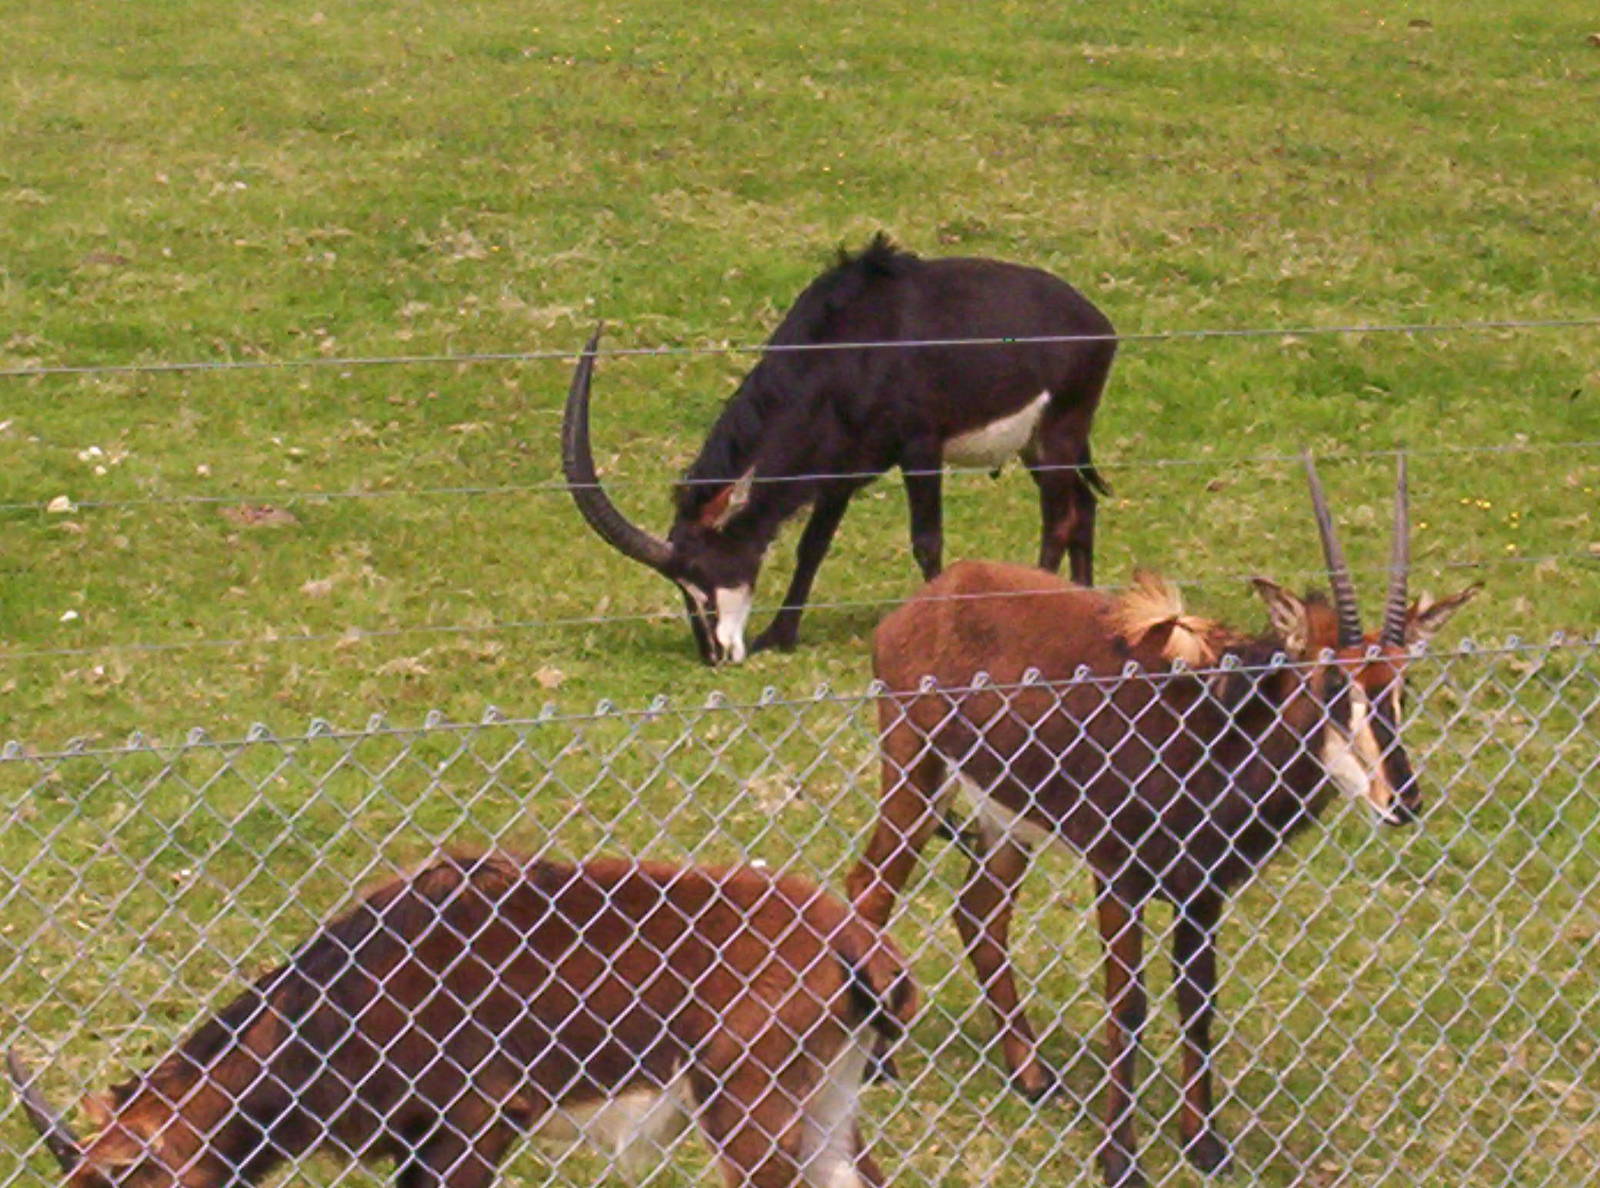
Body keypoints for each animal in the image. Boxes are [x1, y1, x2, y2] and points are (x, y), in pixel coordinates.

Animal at [563, 234, 1116, 664]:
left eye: (702, 570)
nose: (716, 654)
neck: (848, 348)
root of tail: (1098, 325)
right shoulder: (839, 468)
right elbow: (813, 546)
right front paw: (778, 635)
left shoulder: (919, 449)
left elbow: (926, 541)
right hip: (1038, 446)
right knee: (1083, 506)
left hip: (1058, 432)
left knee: (1059, 518)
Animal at [844, 456, 1478, 1185]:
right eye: (1330, 688)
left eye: (1402, 689)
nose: (1402, 799)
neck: (1215, 729)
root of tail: (934, 598)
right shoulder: (1118, 879)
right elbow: (1129, 1007)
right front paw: (1120, 1158)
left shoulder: (1202, 891)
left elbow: (1197, 1003)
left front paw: (1203, 1143)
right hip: (915, 772)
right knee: (870, 887)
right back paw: (879, 1063)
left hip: (1008, 816)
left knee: (979, 913)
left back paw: (1031, 1076)